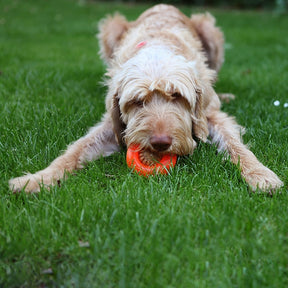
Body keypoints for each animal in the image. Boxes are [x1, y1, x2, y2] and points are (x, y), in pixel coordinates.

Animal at [9, 4, 284, 192]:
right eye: (137, 101)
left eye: (177, 96)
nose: (160, 143)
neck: (157, 45)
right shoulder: (114, 125)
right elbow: (76, 150)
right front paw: (36, 179)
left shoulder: (211, 114)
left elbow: (236, 145)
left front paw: (261, 174)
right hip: (111, 27)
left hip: (210, 30)